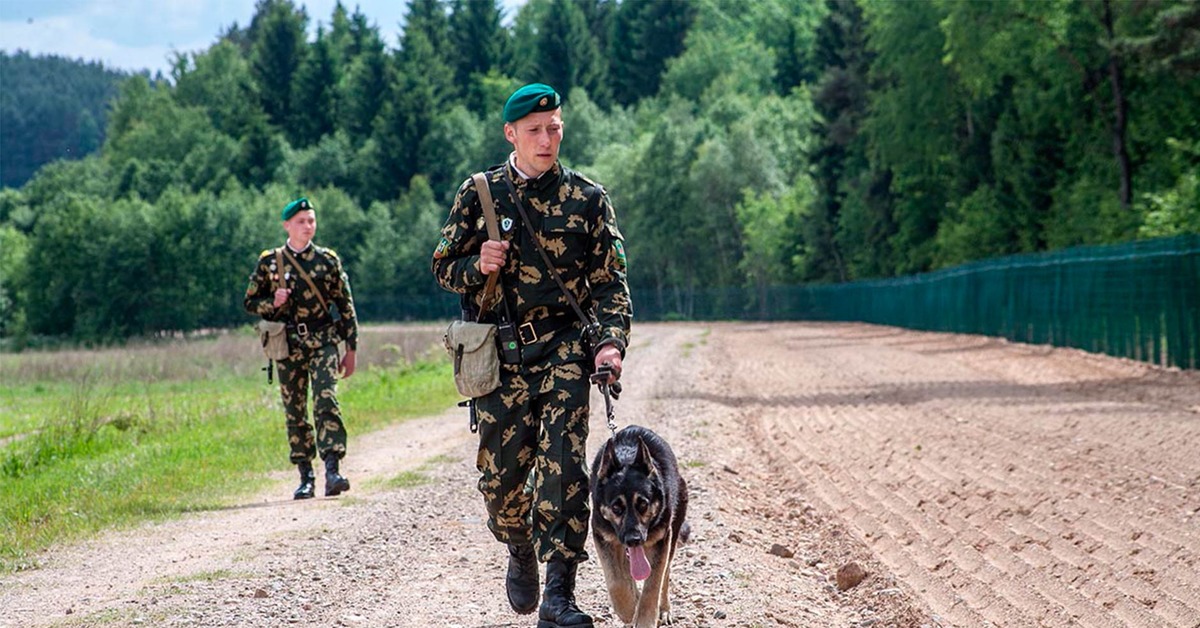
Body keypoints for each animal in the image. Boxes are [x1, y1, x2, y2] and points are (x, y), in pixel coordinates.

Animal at [592, 425, 696, 624]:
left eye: (643, 505)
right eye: (616, 508)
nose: (634, 540)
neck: (627, 458)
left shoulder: (661, 540)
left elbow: (653, 585)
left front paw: (644, 617)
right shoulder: (603, 537)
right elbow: (617, 583)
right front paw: (629, 609)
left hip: (671, 536)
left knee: (665, 574)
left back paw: (664, 609)